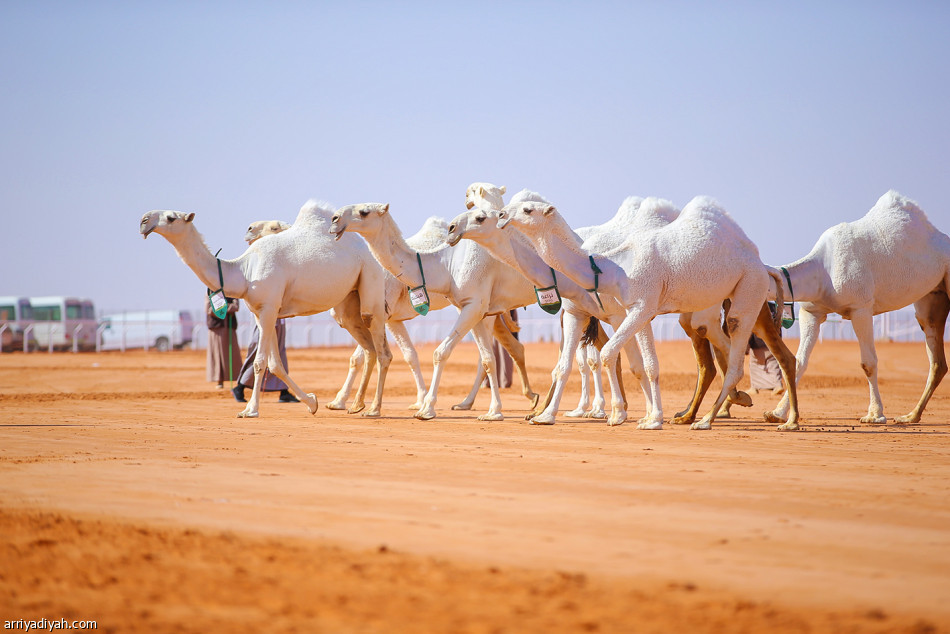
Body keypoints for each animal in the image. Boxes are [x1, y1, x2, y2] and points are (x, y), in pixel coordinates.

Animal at [139, 200, 392, 418]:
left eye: (171, 217)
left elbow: (260, 363)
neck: (243, 272)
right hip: (346, 303)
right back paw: (356, 405)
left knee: (379, 344)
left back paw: (370, 408)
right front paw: (311, 402)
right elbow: (275, 364)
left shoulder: (270, 308)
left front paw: (250, 410)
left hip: (371, 280)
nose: (143, 220)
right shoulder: (261, 313)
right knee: (366, 346)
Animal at [330, 202, 544, 420]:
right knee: (509, 349)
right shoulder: (396, 318)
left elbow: (367, 355)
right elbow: (408, 355)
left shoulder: (385, 313)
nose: (335, 219)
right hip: (494, 310)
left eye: (364, 212)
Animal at [498, 193, 804, 430]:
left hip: (749, 288)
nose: (500, 213)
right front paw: (652, 419)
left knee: (738, 352)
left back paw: (708, 420)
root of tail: (762, 263)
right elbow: (649, 365)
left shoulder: (640, 306)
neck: (614, 268)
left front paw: (617, 415)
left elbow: (608, 353)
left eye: (527, 209)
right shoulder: (640, 311)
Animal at [768, 189, 948, 424]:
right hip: (930, 295)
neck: (822, 270)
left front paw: (875, 414)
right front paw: (776, 413)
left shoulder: (860, 308)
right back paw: (911, 416)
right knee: (936, 358)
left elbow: (868, 363)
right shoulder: (812, 312)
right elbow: (799, 361)